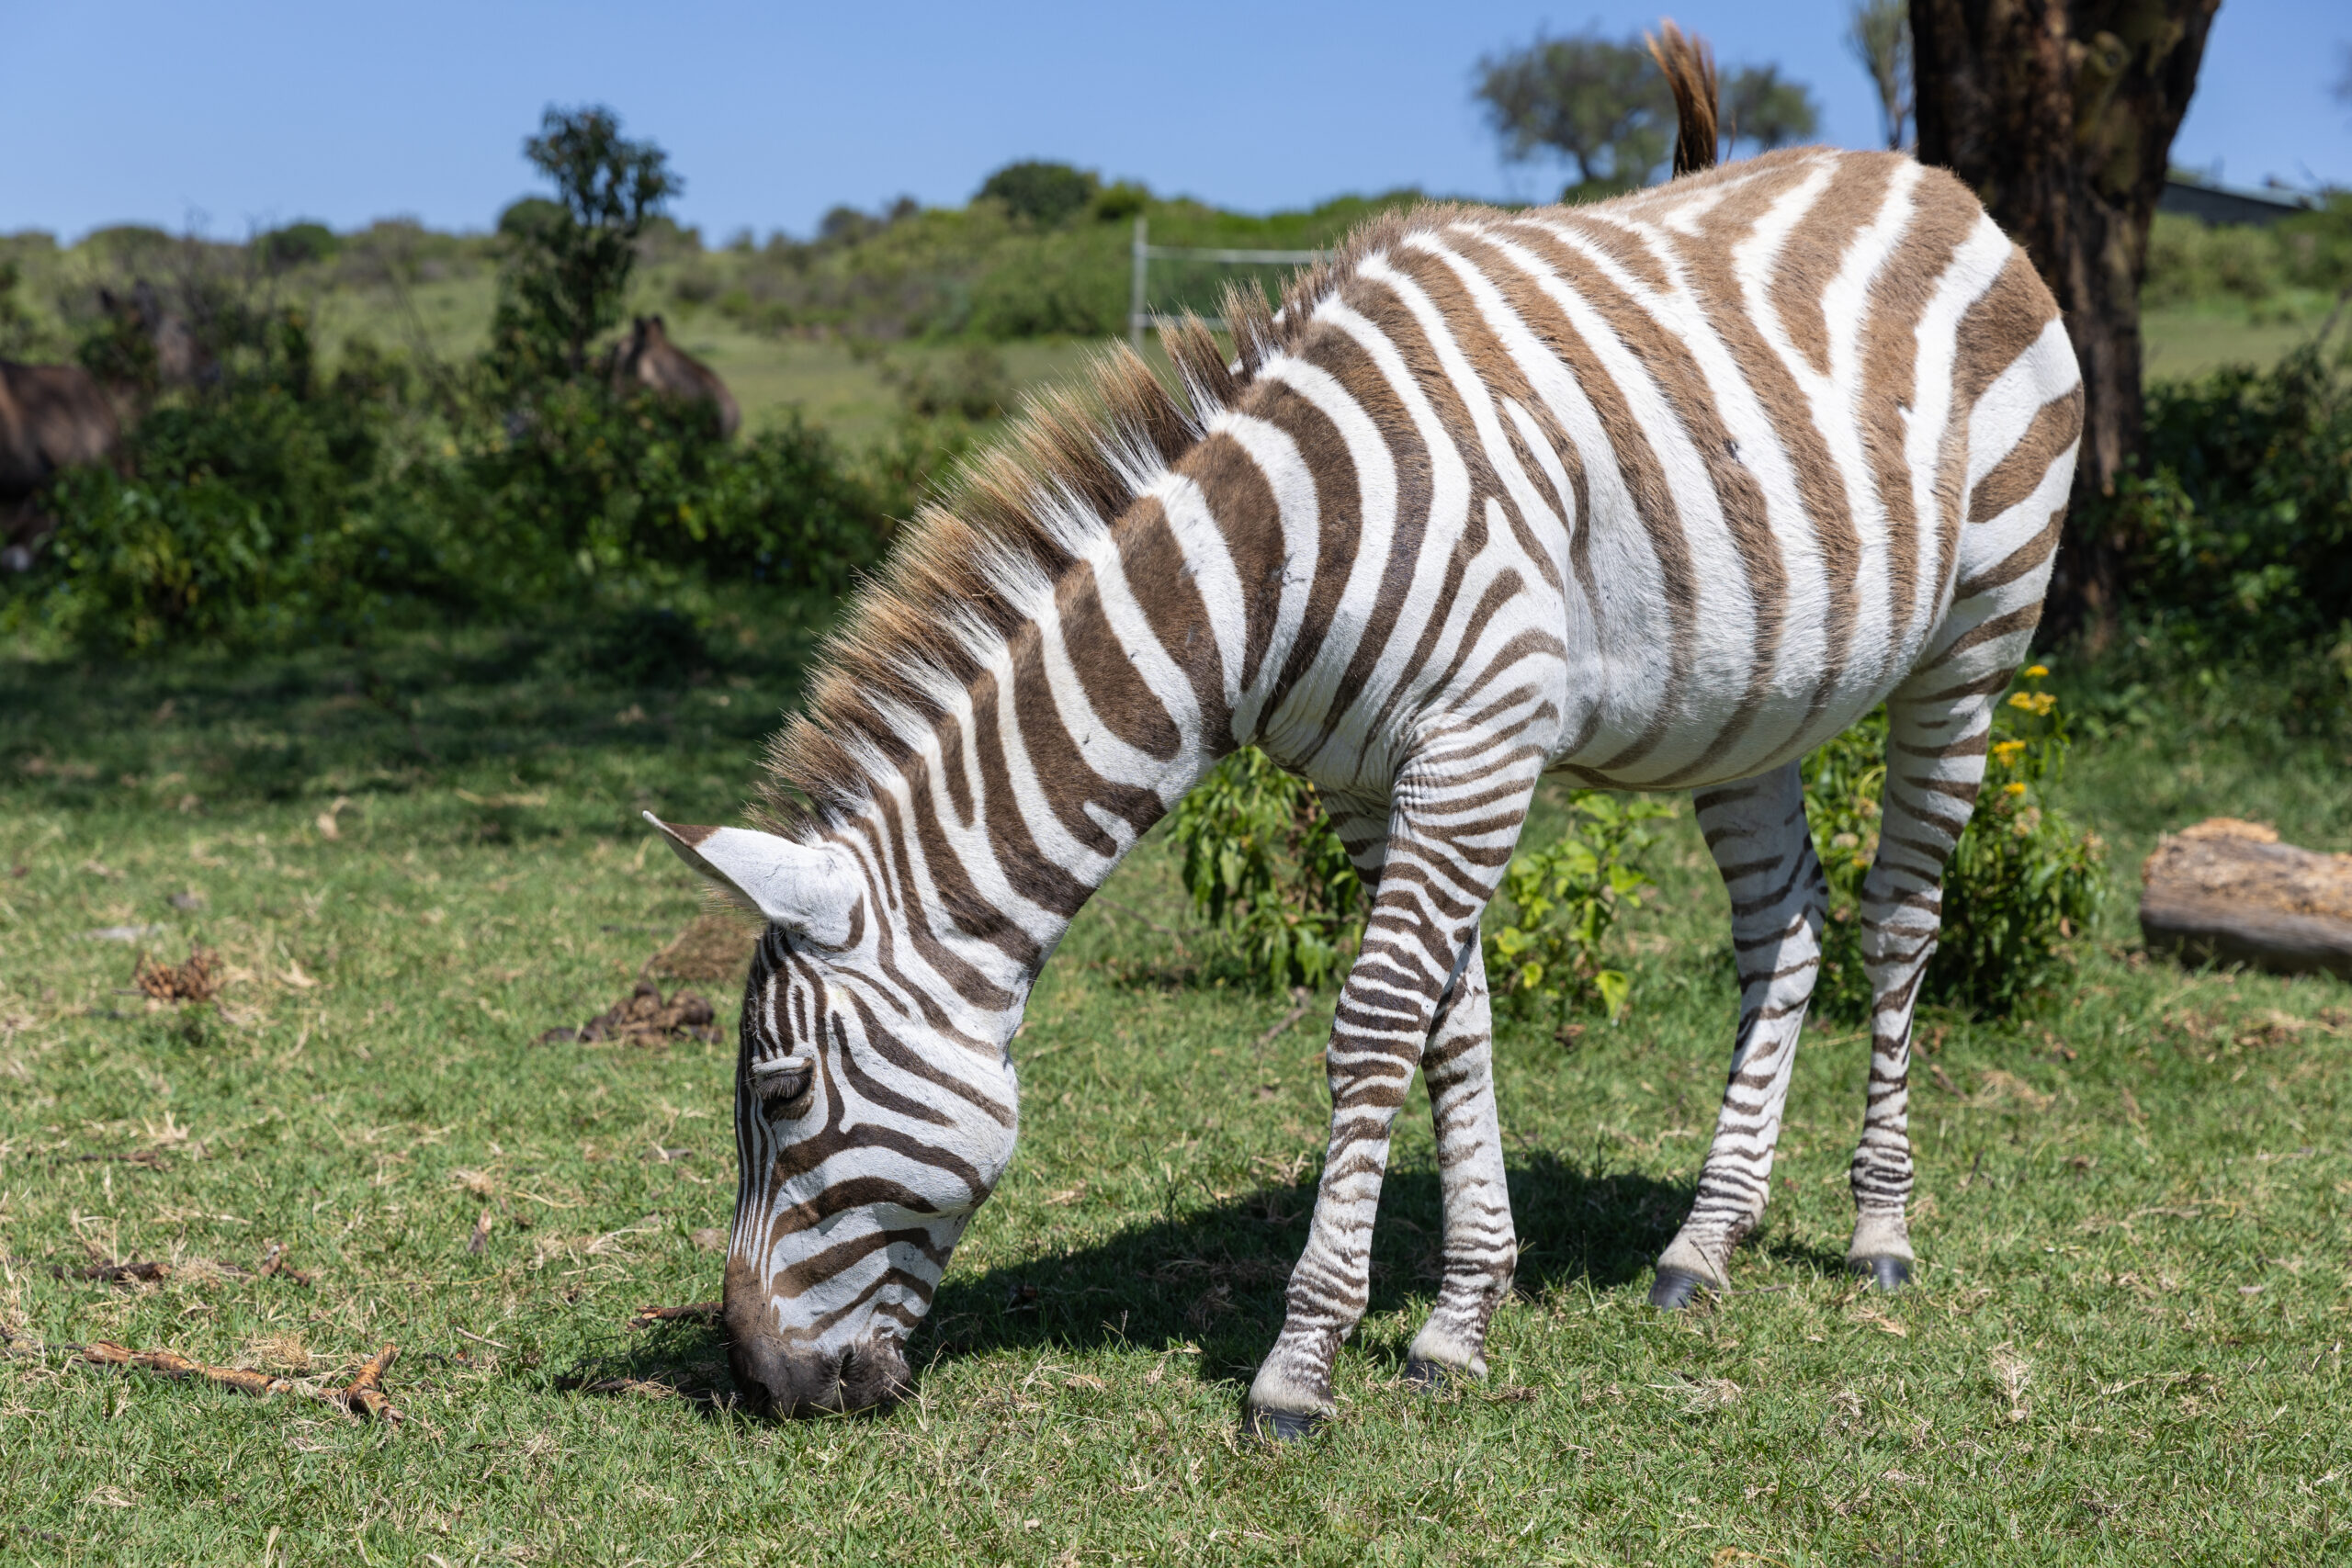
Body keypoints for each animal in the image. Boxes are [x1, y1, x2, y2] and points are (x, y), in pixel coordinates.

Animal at [644, 135, 2079, 1438]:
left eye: (780, 1094)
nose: (755, 1382)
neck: (1274, 564)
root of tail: (1919, 173)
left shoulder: (1477, 744)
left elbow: (1378, 1025)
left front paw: (1303, 1363)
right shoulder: (1368, 782)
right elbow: (1454, 1026)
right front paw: (1461, 1319)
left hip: (1977, 636)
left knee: (1900, 918)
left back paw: (1879, 1228)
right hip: (1750, 700)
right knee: (1783, 929)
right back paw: (1702, 1244)